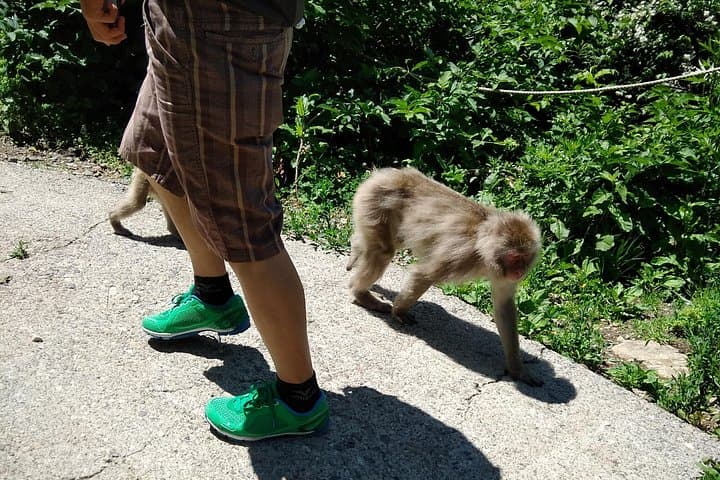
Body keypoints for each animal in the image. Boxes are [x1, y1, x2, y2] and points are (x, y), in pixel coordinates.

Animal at [346, 167, 542, 386]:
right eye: (514, 258)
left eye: (525, 258)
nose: (520, 272)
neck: (483, 250)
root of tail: (385, 174)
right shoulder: (460, 255)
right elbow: (424, 274)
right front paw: (399, 312)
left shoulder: (502, 274)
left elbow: (503, 306)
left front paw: (518, 370)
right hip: (377, 204)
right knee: (384, 251)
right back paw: (361, 293)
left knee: (389, 243)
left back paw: (355, 250)